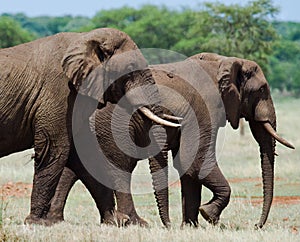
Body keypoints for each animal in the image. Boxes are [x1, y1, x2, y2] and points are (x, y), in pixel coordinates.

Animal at [0, 27, 178, 225]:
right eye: (130, 68)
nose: (169, 226)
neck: (84, 38)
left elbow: (84, 155)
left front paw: (116, 222)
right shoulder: (59, 92)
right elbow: (54, 148)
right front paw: (35, 223)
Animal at [45, 52, 294, 228]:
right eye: (262, 90)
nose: (257, 225)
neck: (224, 61)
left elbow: (188, 164)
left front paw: (191, 227)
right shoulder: (206, 107)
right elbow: (194, 160)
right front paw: (209, 216)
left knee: (79, 168)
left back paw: (63, 220)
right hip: (110, 124)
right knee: (120, 167)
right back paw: (132, 223)